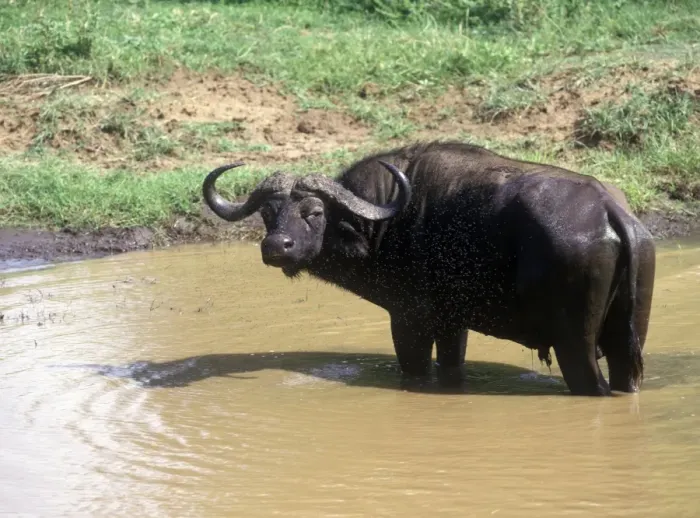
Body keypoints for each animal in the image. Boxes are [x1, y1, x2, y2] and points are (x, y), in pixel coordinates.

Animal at [202, 141, 656, 396]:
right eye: (267, 213)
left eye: (314, 212)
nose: (276, 247)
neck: (387, 220)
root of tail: (611, 211)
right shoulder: (453, 322)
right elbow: (451, 365)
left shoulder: (409, 318)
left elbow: (415, 369)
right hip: (626, 343)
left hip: (574, 343)